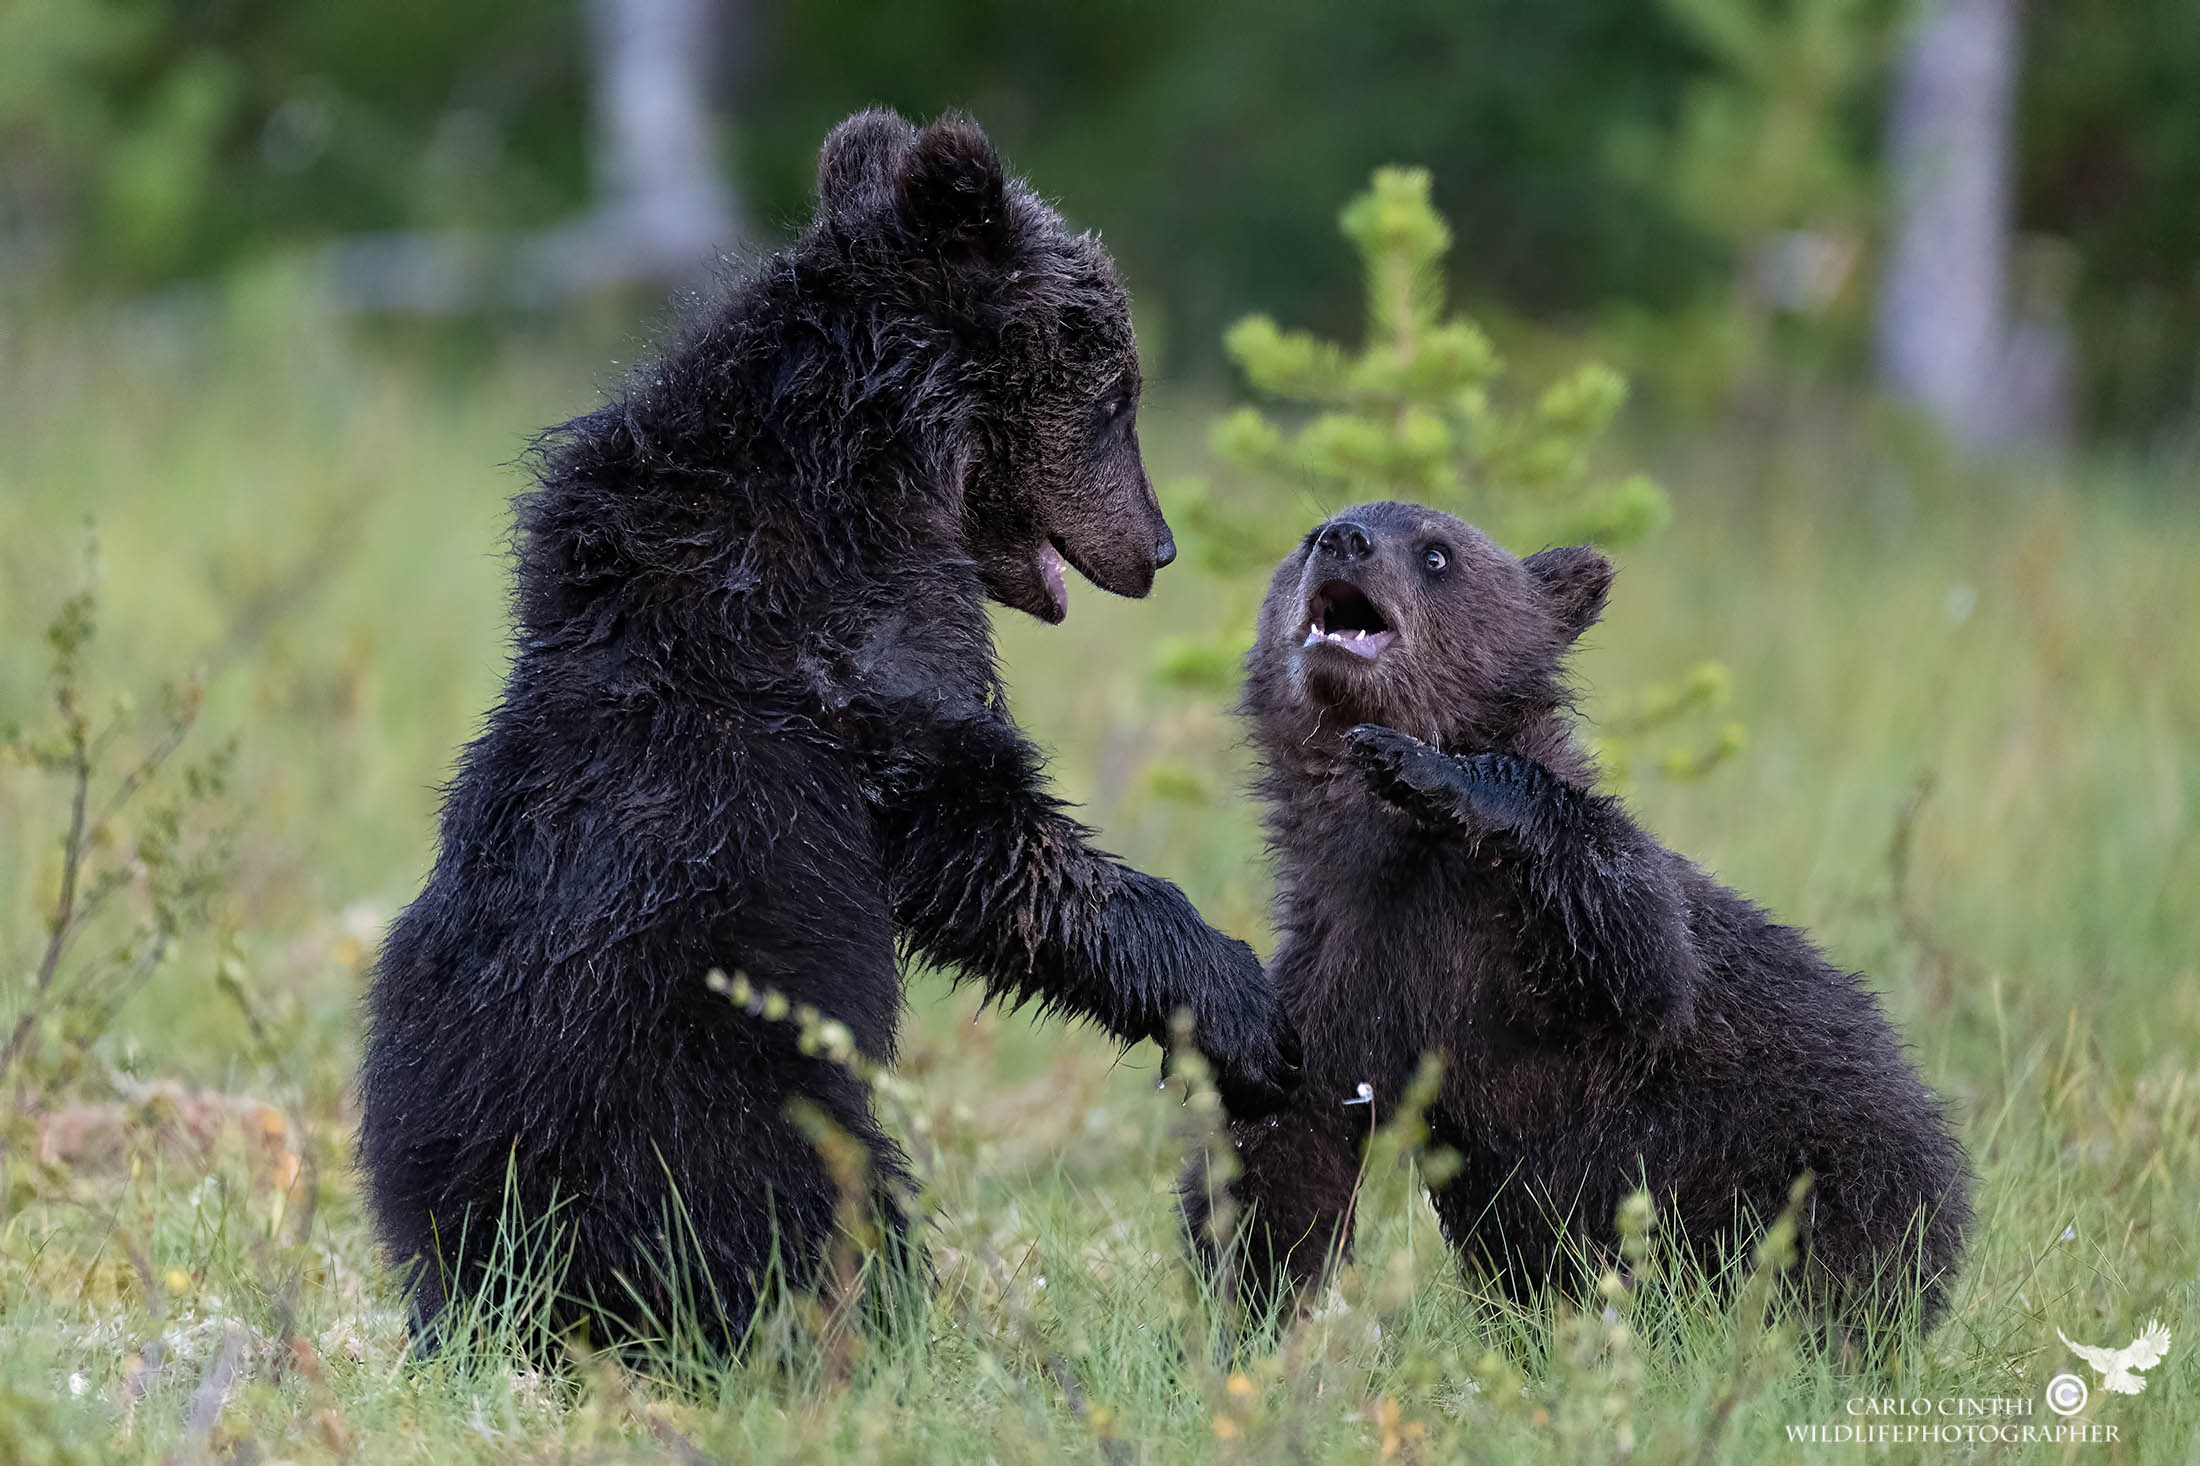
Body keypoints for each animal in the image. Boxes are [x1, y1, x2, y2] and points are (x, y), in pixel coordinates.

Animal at [359, 109, 1300, 1359]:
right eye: (1116, 391)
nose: (1156, 547)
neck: (872, 458)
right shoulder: (858, 655)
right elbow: (981, 830)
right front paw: (1238, 999)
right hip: (723, 1104)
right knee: (819, 1218)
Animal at [1181, 500, 1971, 1335]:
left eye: (1436, 553)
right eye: (1308, 538)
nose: (1343, 538)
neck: (1394, 854)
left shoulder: (1541, 955)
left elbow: (1638, 952)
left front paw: (1429, 769)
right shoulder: (1344, 966)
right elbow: (1279, 1152)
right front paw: (1253, 1304)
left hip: (1829, 1160)